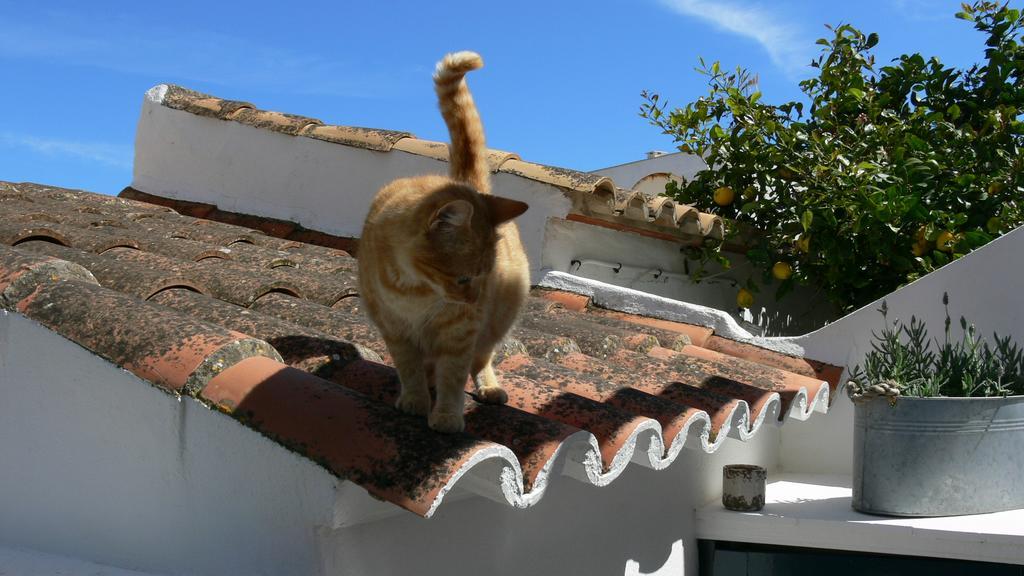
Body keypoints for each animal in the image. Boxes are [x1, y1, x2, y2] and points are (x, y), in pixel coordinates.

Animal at [360, 52, 532, 430]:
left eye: (484, 276)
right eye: (464, 278)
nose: (475, 299)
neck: (416, 290)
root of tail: (467, 184)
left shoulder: (461, 334)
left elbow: (454, 375)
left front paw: (447, 416)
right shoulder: (396, 330)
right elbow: (409, 368)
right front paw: (415, 400)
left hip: (498, 321)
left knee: (481, 359)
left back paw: (488, 387)